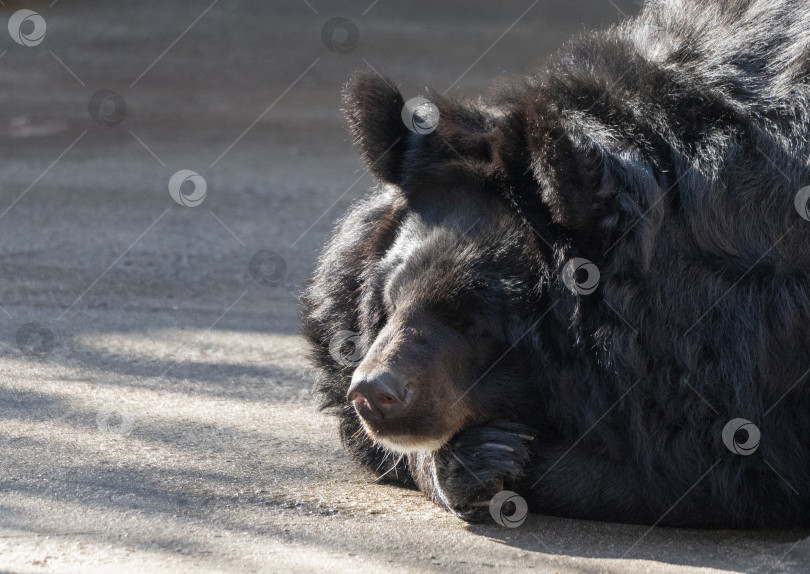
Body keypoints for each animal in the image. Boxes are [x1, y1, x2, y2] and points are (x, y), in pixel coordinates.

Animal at [300, 0, 808, 532]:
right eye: (390, 301)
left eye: (475, 323)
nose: (373, 394)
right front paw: (470, 461)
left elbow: (711, 463)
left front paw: (496, 457)